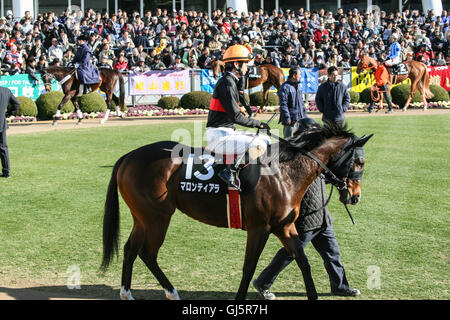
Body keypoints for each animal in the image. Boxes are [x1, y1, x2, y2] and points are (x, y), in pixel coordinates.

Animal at [101, 120, 372, 300]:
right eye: (359, 162)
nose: (356, 196)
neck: (283, 173)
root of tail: (128, 156)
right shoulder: (259, 228)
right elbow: (249, 267)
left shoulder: (285, 227)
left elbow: (303, 261)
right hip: (157, 218)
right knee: (148, 253)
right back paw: (171, 291)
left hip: (142, 217)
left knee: (130, 249)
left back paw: (127, 292)